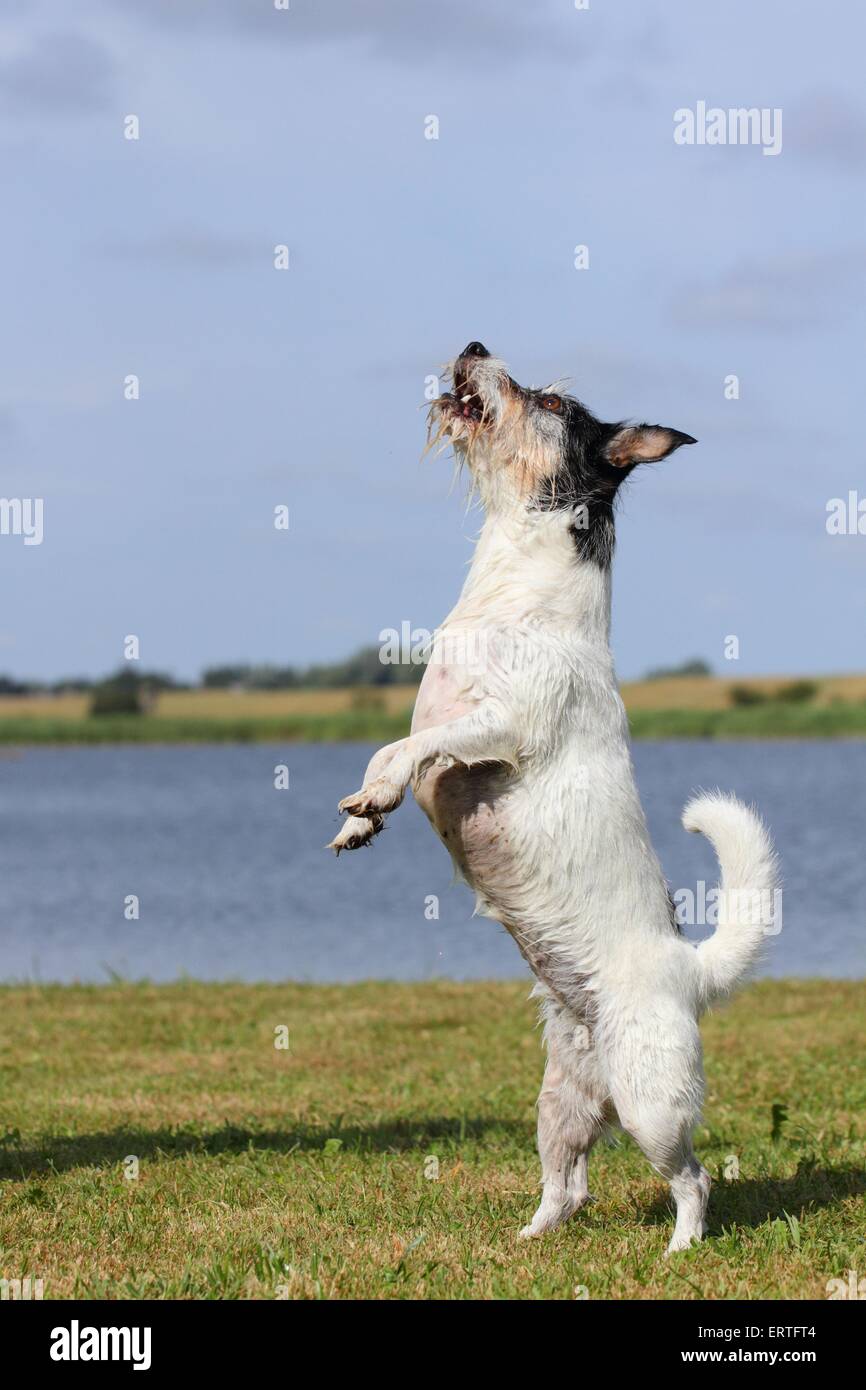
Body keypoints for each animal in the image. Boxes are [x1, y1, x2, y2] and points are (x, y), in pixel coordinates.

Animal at [326, 341, 778, 1256]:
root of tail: (690, 970)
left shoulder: (502, 726)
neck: (511, 587)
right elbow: (392, 742)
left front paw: (378, 795)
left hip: (651, 1101)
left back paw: (680, 1249)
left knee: (694, 1178)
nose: (472, 346)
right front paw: (360, 820)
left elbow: (407, 749)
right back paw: (526, 1240)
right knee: (568, 1185)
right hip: (561, 1101)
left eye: (552, 401)